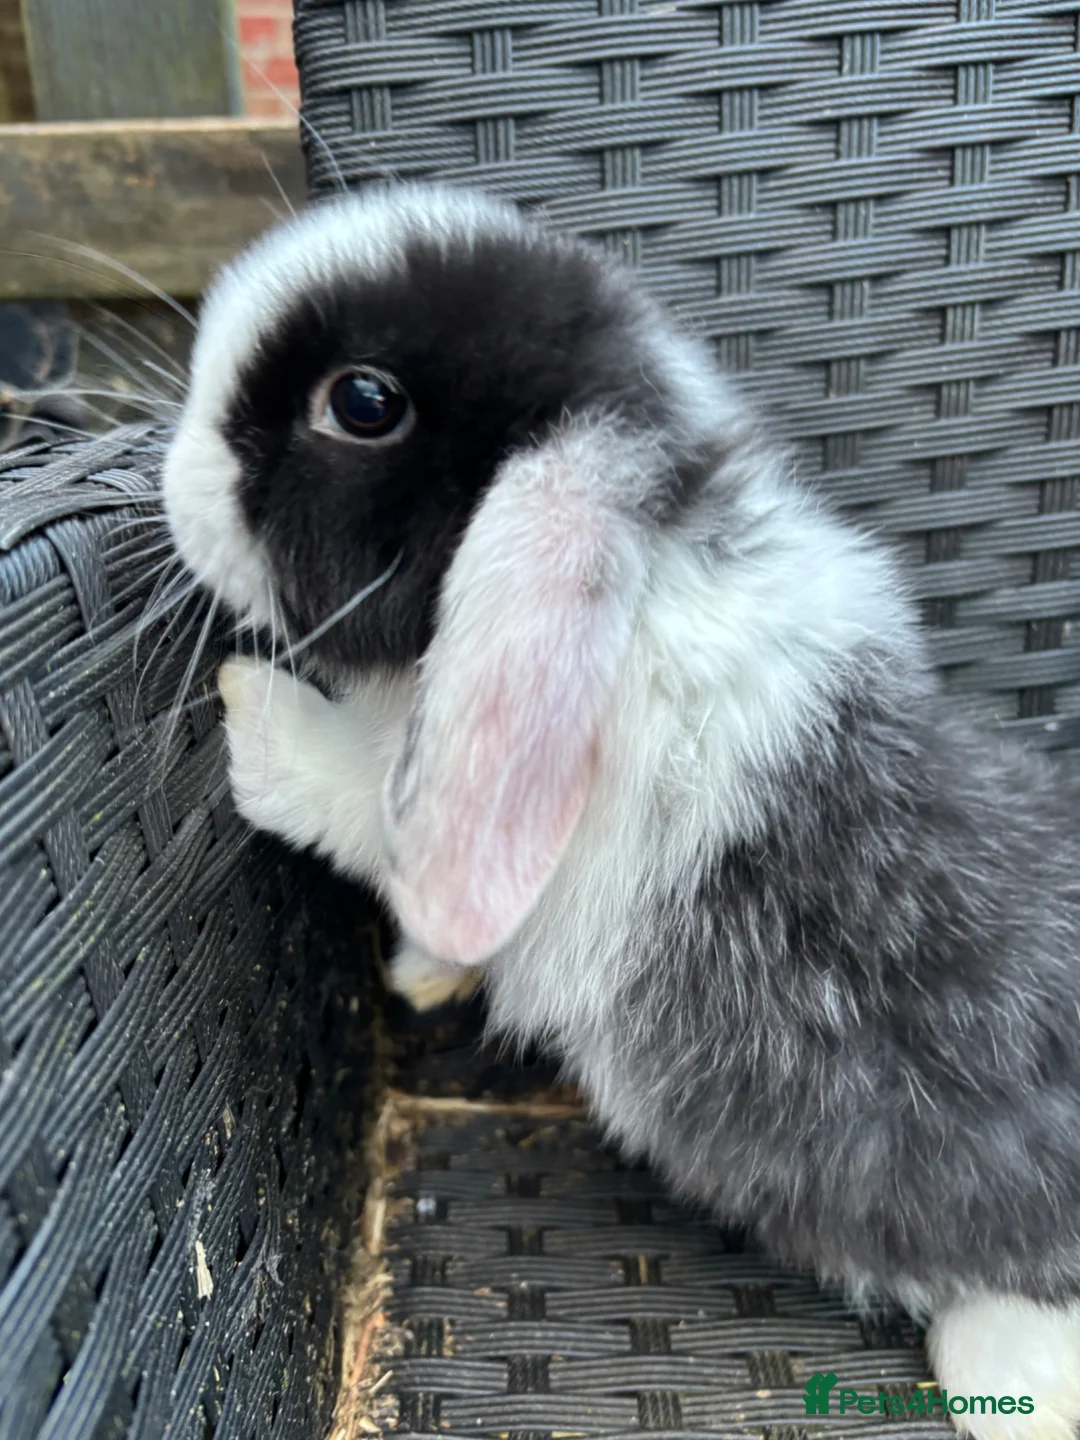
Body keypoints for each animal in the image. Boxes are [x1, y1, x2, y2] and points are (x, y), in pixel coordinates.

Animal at [163, 182, 1080, 1439]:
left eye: (362, 402)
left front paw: (250, 707)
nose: (173, 479)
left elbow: (354, 799)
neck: (651, 583)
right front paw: (426, 974)